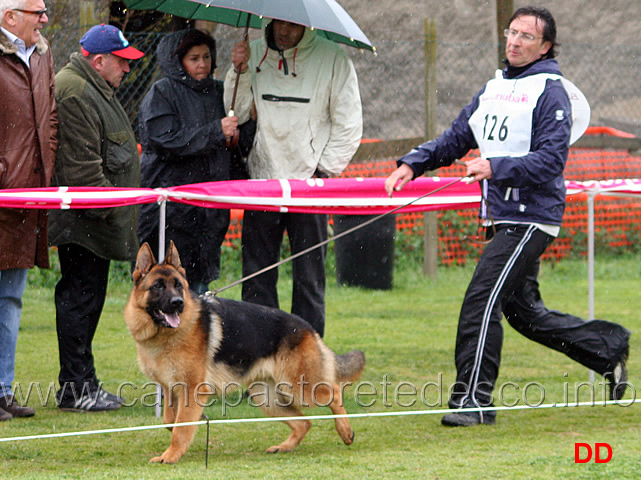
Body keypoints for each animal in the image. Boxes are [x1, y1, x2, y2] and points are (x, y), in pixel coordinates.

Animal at [124, 242, 364, 464]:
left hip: (300, 387)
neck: (165, 336)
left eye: (178, 286)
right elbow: (170, 422)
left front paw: (171, 455)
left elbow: (180, 429)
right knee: (304, 422)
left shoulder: (191, 389)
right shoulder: (170, 388)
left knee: (334, 392)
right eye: (158, 286)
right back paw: (284, 447)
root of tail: (307, 328)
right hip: (266, 398)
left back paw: (345, 431)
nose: (178, 303)